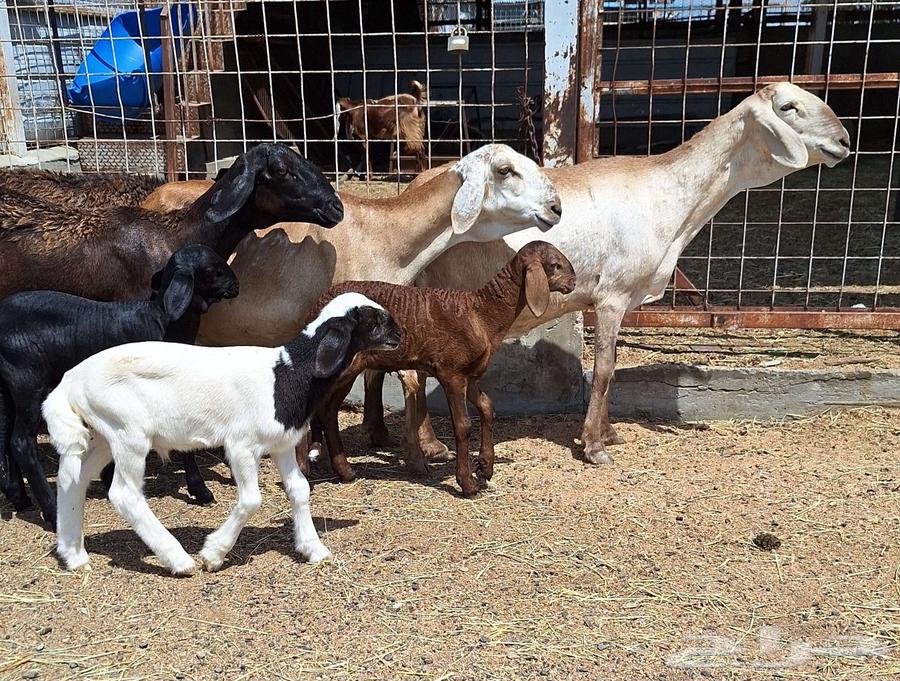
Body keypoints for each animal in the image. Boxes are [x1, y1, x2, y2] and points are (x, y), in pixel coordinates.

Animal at [0, 245, 238, 527]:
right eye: (214, 270)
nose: (237, 285)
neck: (163, 322)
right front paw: (200, 490)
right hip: (28, 381)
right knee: (21, 443)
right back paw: (50, 510)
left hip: (8, 387)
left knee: (5, 436)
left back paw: (19, 497)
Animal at [43, 293, 401, 574]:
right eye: (373, 320)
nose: (399, 333)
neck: (286, 375)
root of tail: (70, 381)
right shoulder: (241, 445)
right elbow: (252, 499)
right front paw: (213, 553)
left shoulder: (282, 444)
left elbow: (299, 489)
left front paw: (313, 548)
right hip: (129, 432)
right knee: (124, 493)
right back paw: (178, 560)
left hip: (105, 433)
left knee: (72, 477)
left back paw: (74, 554)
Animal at [301, 241, 576, 497]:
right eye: (555, 265)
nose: (573, 282)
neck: (482, 314)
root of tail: (317, 304)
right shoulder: (451, 372)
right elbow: (463, 425)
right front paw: (468, 483)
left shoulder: (470, 375)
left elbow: (487, 407)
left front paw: (485, 467)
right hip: (340, 365)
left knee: (327, 411)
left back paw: (344, 471)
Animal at [373, 82, 851, 465]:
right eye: (788, 107)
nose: (845, 140)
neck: (671, 196)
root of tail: (409, 191)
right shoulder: (612, 297)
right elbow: (603, 372)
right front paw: (594, 446)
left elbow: (614, 370)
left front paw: (609, 433)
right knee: (411, 371)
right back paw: (429, 446)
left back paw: (387, 435)